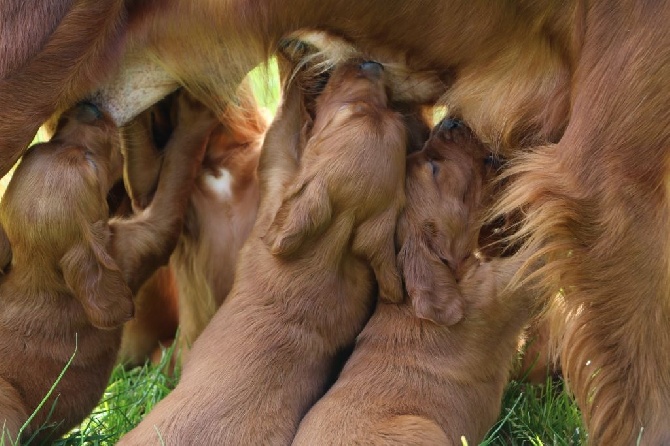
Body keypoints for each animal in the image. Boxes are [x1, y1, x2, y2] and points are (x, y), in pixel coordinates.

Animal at [0, 95, 214, 442]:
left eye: (50, 142)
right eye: (90, 162)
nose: (88, 107)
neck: (40, 272)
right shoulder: (137, 244)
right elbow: (177, 171)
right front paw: (196, 116)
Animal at [121, 57, 410, 444]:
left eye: (347, 110)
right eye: (393, 116)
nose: (371, 63)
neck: (334, 243)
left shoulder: (271, 178)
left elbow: (279, 126)